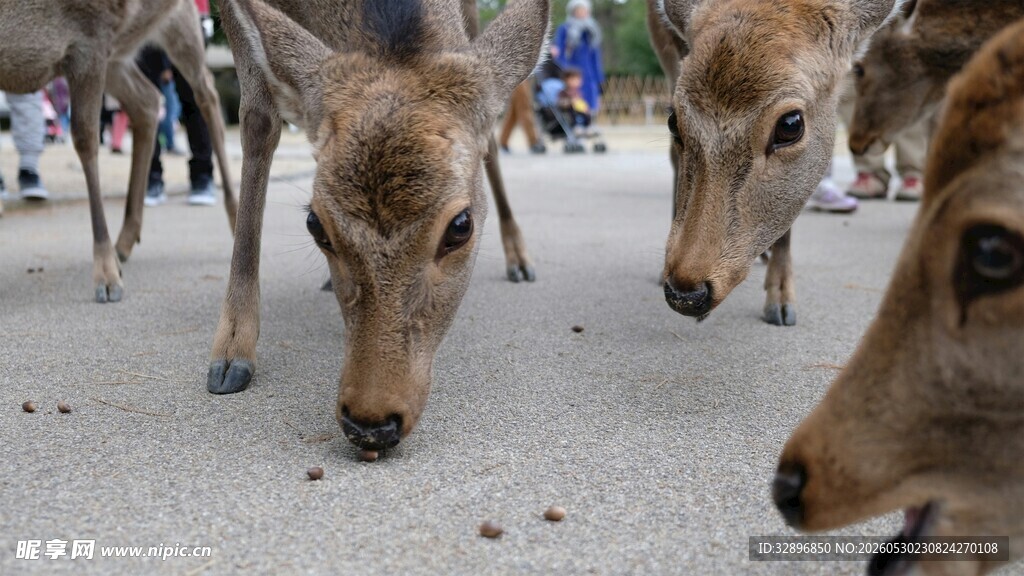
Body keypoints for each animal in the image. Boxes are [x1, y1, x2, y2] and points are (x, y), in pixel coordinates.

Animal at [0, 0, 236, 302]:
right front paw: (110, 262)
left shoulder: (90, 39)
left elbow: (85, 138)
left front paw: (106, 275)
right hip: (121, 53)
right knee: (148, 101)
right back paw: (123, 241)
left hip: (180, 21)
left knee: (207, 93)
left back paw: (236, 217)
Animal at [208, 0, 548, 452]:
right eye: (315, 224)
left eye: (461, 225)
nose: (370, 423)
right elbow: (259, 120)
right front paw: (230, 353)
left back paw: (520, 261)